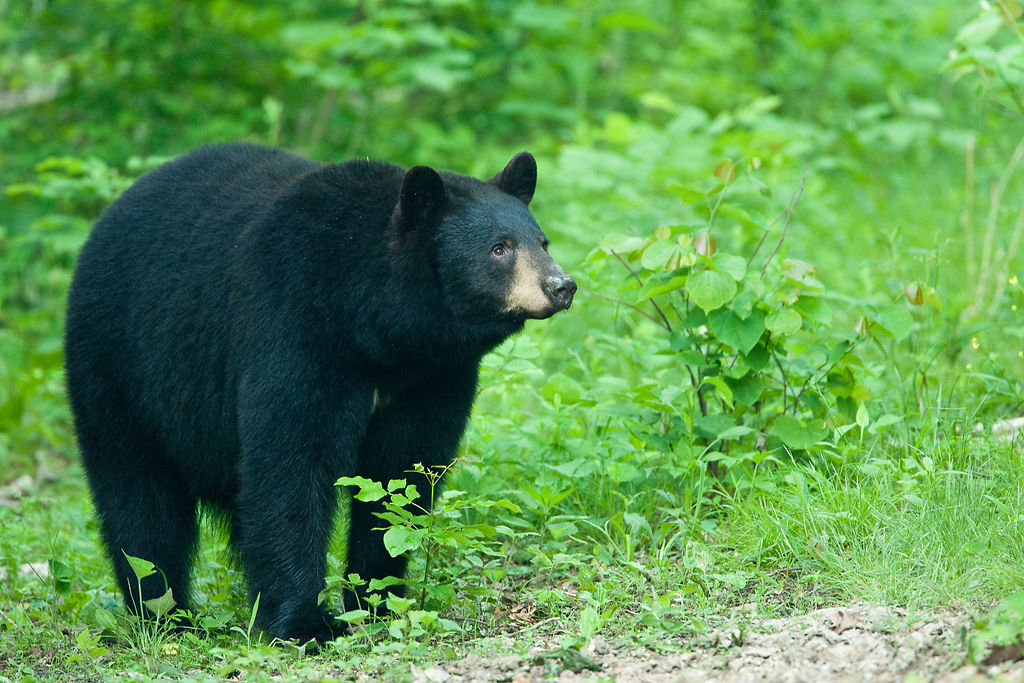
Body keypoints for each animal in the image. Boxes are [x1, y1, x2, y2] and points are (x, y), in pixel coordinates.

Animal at [64, 141, 577, 643]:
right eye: (499, 248)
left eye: (542, 242)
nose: (562, 285)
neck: (378, 325)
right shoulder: (296, 325)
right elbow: (290, 466)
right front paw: (307, 623)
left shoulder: (433, 377)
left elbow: (404, 474)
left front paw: (378, 603)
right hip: (120, 367)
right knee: (138, 500)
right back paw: (166, 615)